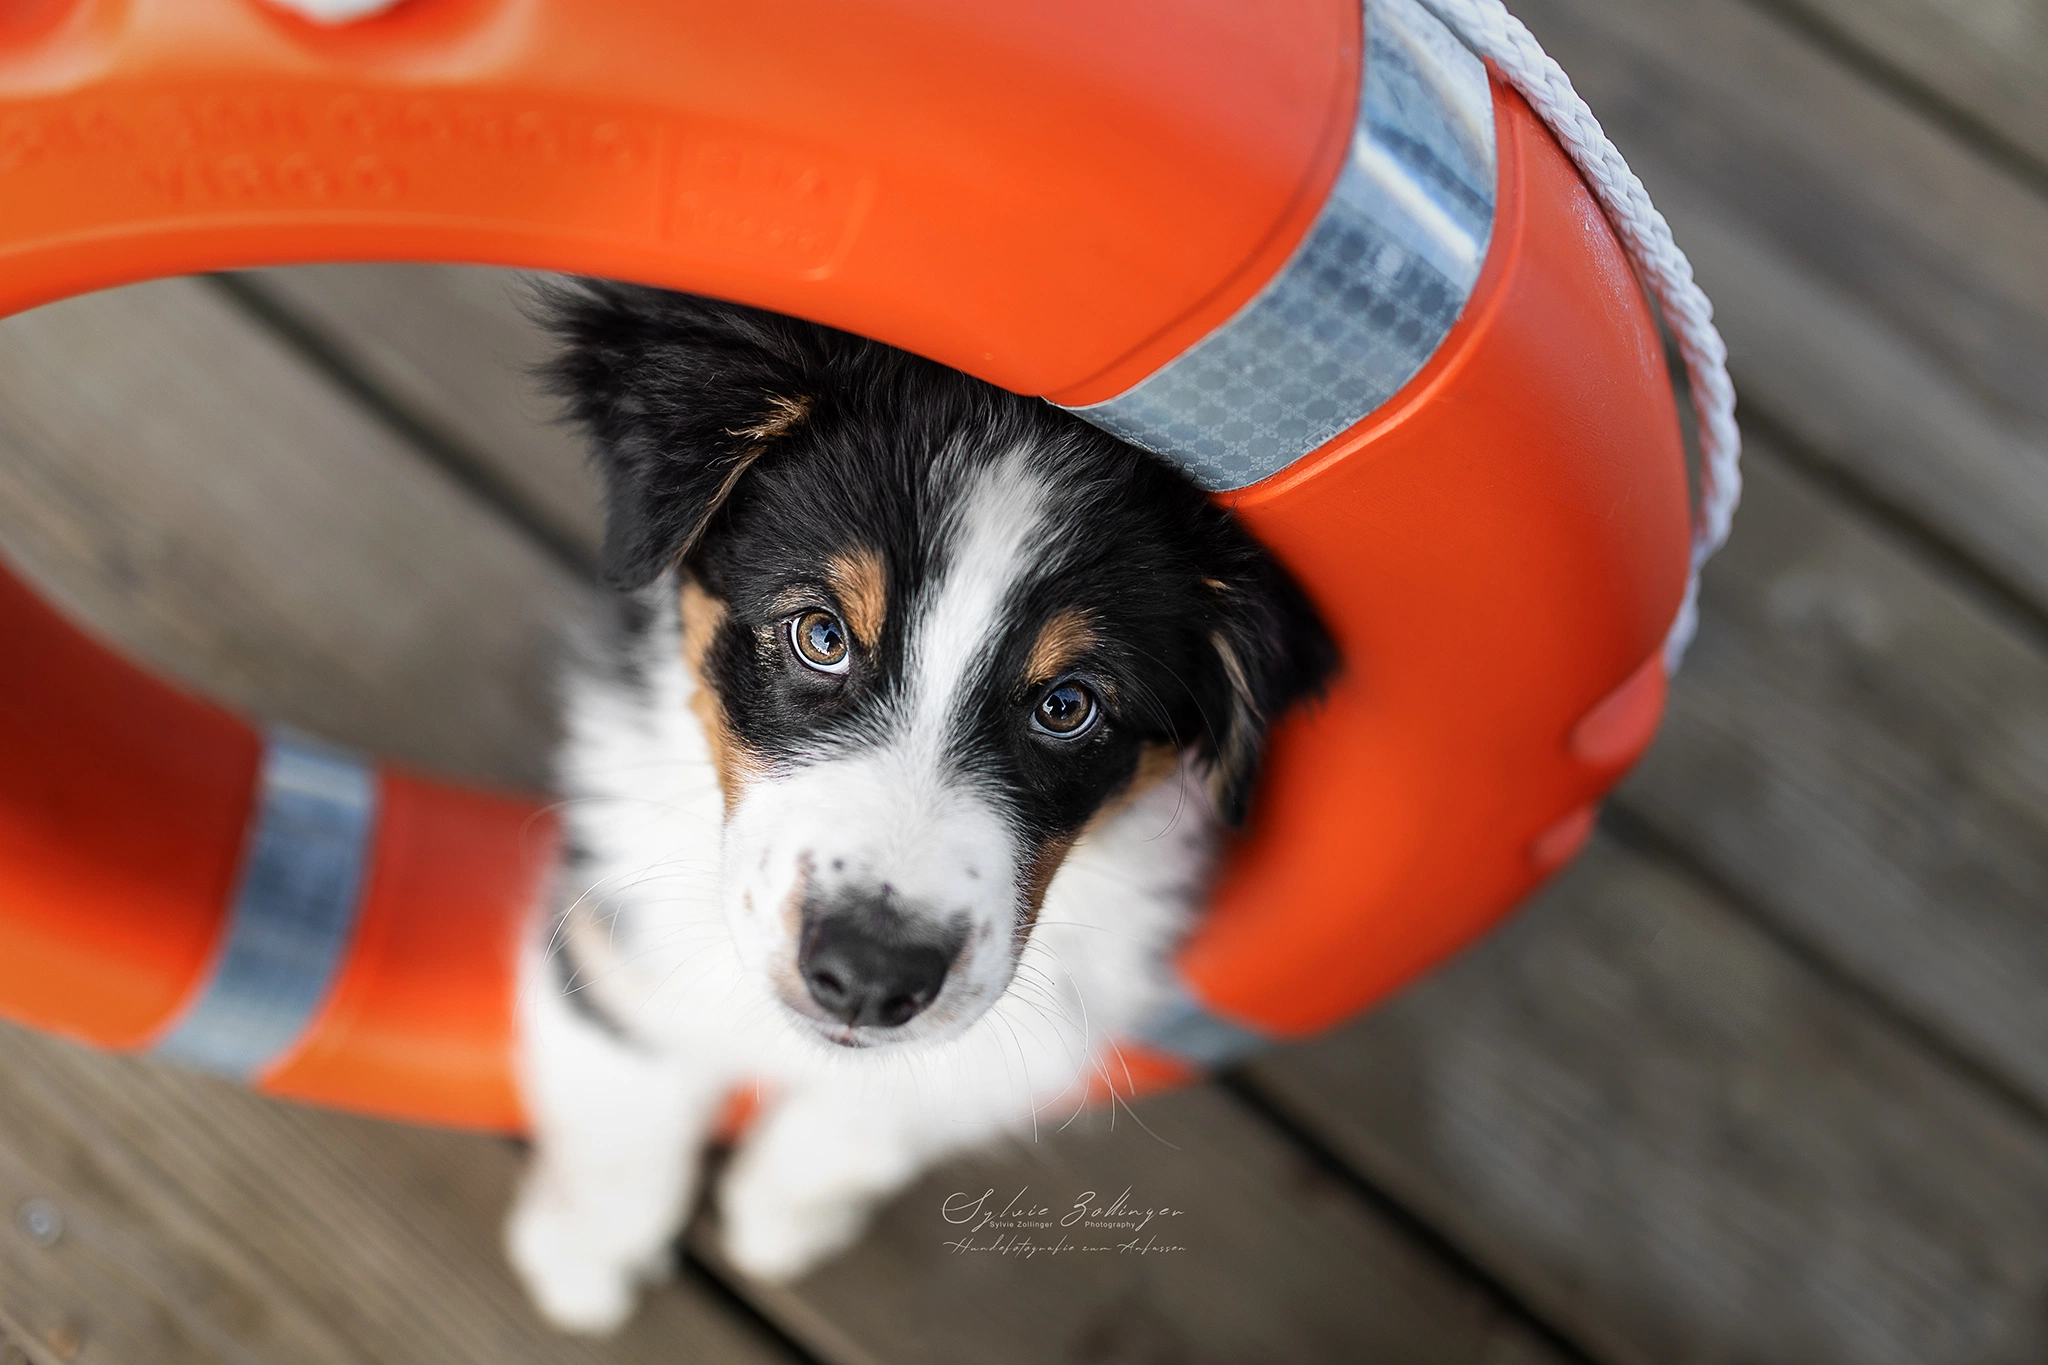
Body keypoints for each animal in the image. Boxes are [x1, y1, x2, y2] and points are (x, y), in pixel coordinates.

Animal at [503, 286, 1335, 1334]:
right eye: (820, 635)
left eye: (1069, 706)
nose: (867, 979)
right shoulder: (618, 870)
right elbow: (624, 1053)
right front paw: (586, 1249)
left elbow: (917, 1094)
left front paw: (785, 1209)